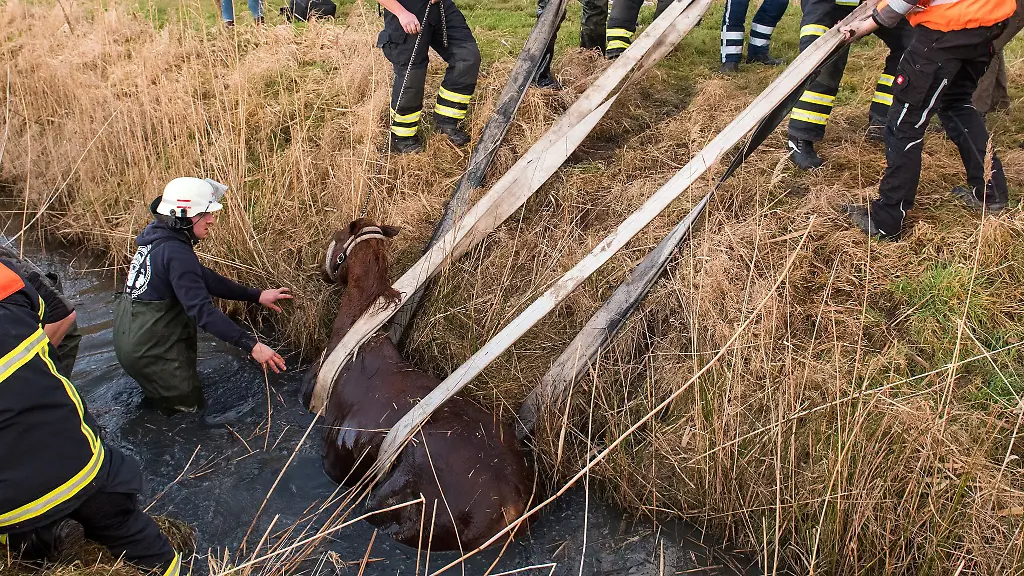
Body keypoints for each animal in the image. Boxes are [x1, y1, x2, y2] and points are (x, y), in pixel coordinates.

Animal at [300, 218, 532, 551]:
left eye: (336, 236)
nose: (322, 271)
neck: (354, 338)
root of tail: (513, 508)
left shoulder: (336, 457)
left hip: (404, 510)